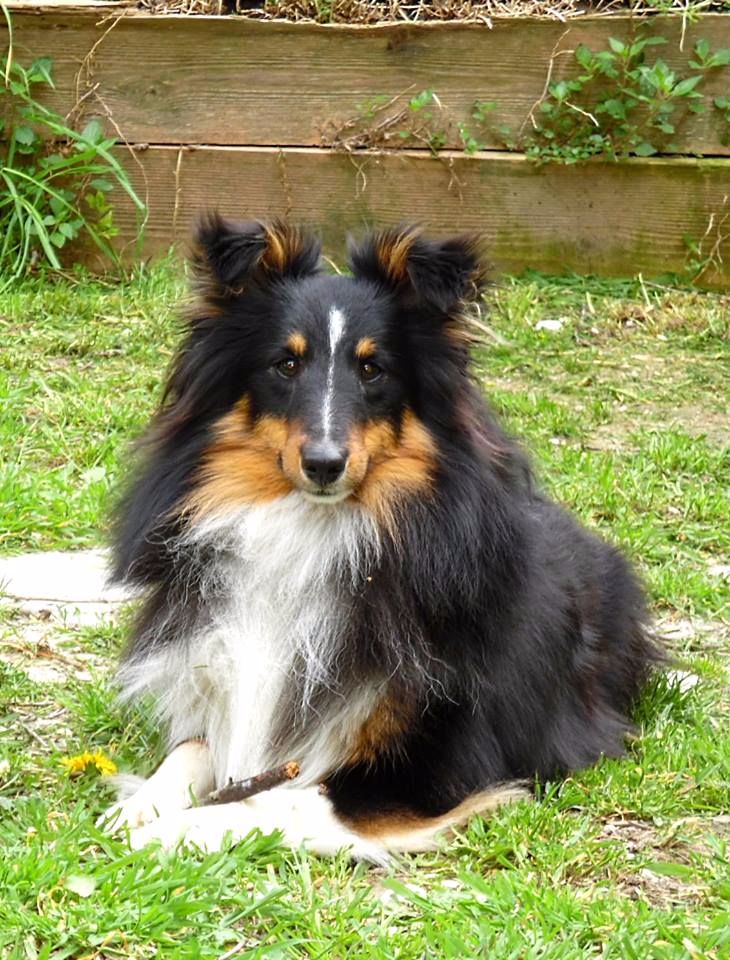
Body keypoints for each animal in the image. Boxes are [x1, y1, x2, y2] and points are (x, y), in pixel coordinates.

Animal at [103, 216, 662, 862]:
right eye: (285, 365)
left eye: (373, 369)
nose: (324, 464)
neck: (315, 530)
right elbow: (190, 752)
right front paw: (138, 808)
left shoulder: (435, 769)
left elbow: (276, 801)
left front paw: (169, 830)